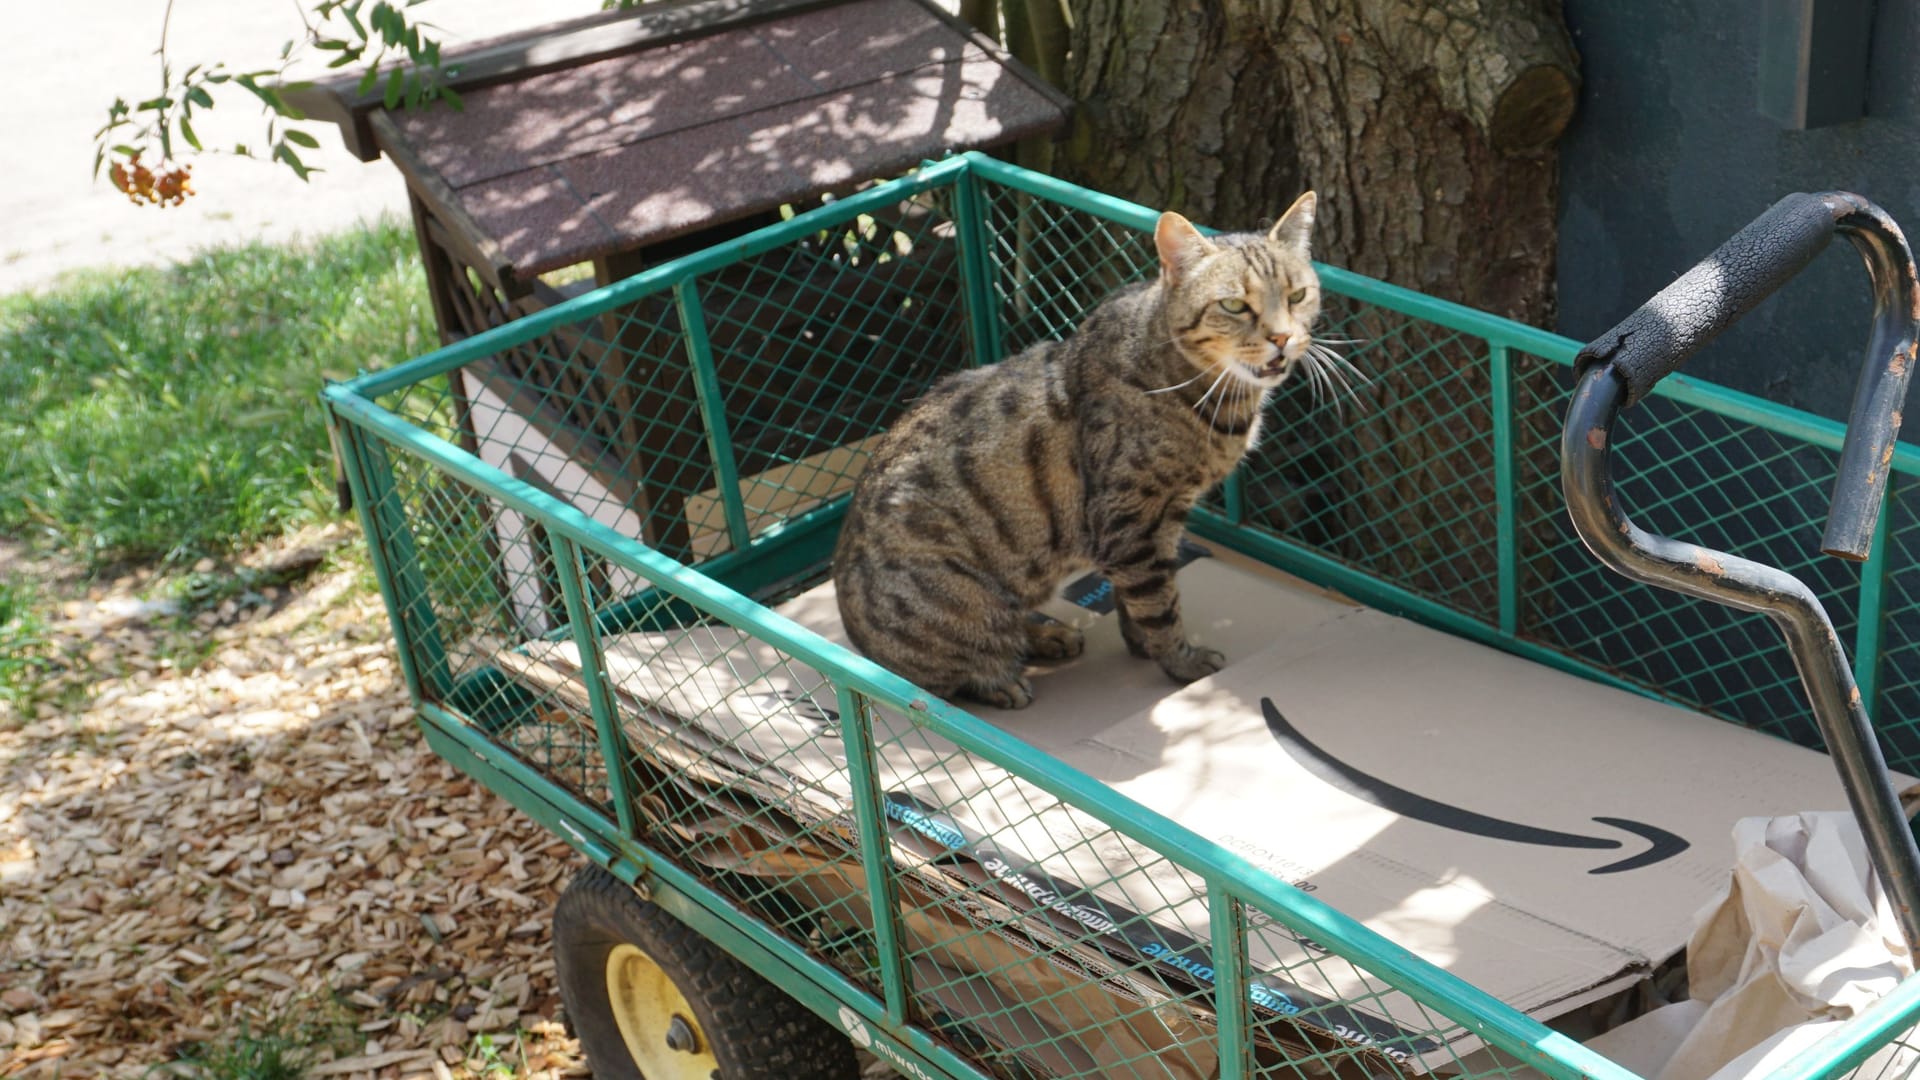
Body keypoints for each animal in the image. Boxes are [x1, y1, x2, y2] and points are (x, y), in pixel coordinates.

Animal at [833, 193, 1328, 707]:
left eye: (1297, 296)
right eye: (1233, 305)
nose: (1282, 338)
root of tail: (858, 643)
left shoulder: (1161, 519)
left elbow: (1137, 595)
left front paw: (1141, 643)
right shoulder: (1130, 520)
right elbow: (1158, 603)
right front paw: (1182, 662)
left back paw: (1047, 635)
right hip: (962, 604)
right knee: (949, 672)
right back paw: (1001, 677)